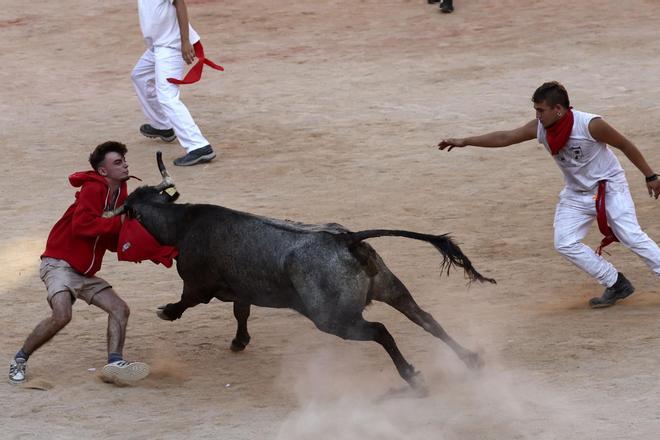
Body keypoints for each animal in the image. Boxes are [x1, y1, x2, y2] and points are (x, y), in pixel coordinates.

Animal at [114, 152, 496, 388]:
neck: (183, 223)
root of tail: (348, 240)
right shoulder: (242, 288)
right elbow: (241, 312)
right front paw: (239, 342)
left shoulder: (197, 284)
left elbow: (186, 302)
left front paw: (166, 312)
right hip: (391, 288)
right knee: (425, 318)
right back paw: (471, 359)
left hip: (333, 318)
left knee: (381, 331)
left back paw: (413, 377)